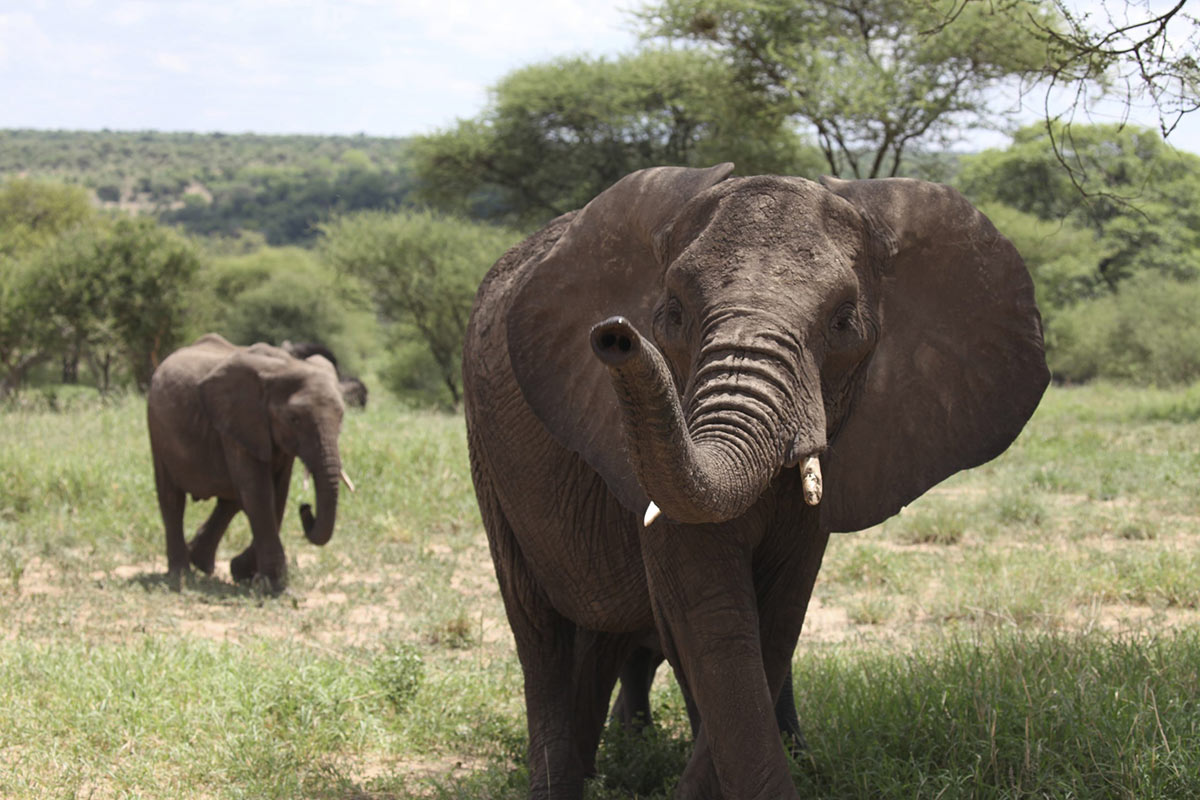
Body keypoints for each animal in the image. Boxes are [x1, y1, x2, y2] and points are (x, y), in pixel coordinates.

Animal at [147, 333, 351, 592]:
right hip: (157, 427)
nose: (305, 507)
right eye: (293, 419)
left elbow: (277, 495)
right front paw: (271, 586)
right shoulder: (240, 421)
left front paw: (244, 574)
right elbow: (260, 492)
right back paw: (182, 575)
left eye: (341, 416)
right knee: (172, 498)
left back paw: (201, 563)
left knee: (231, 499)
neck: (287, 365)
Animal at [461, 164, 1049, 799]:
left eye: (843, 321)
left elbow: (777, 618)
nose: (614, 335)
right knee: (539, 632)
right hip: (487, 452)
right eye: (673, 311)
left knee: (601, 637)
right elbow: (713, 617)